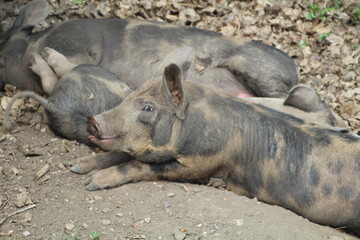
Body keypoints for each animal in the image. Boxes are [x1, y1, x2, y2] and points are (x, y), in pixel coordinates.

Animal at [71, 49, 360, 235]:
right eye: (129, 96)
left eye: (148, 108)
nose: (93, 120)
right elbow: (123, 154)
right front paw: (77, 167)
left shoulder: (202, 164)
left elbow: (137, 165)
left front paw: (91, 183)